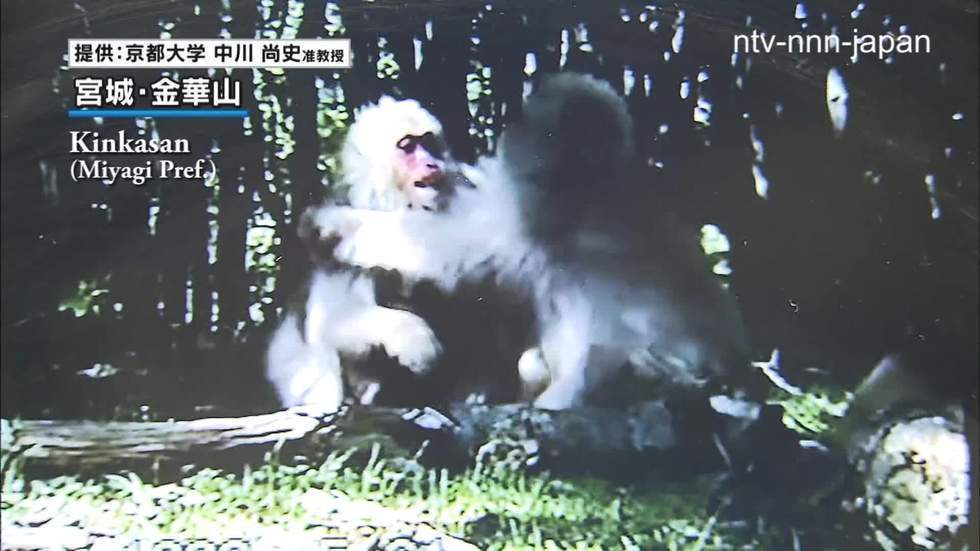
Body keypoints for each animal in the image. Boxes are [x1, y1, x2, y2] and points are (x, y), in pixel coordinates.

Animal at [304, 73, 758, 410]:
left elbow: (440, 246)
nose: (432, 163)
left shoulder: (521, 213)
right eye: (408, 146)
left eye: (427, 143)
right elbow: (336, 321)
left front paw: (333, 224)